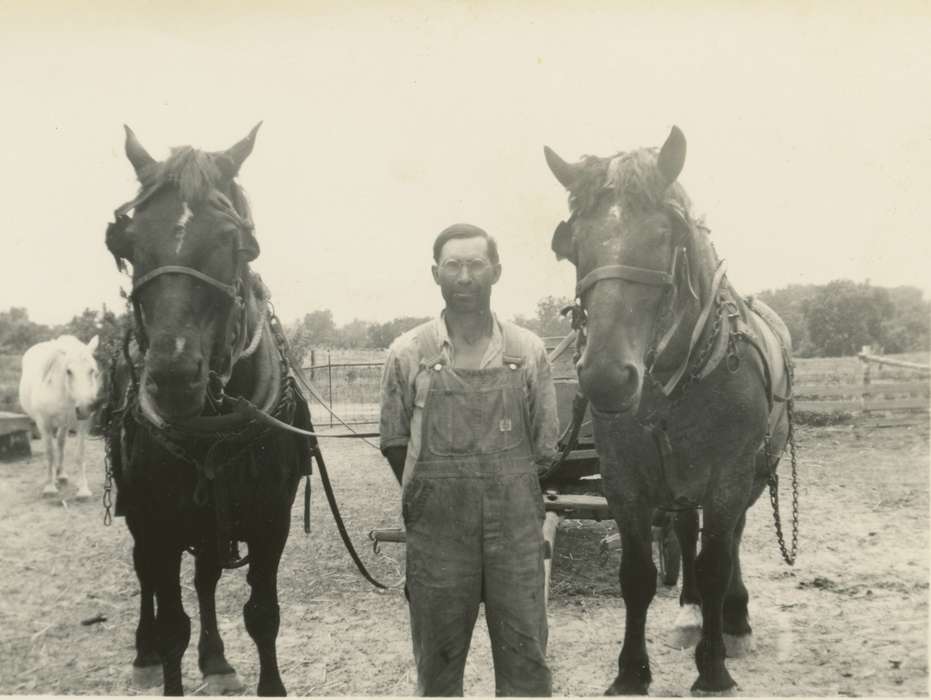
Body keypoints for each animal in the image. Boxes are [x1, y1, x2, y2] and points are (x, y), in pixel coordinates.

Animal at [18, 334, 101, 498]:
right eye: (68, 371)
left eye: (92, 370)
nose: (84, 408)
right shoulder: (43, 423)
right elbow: (50, 453)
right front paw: (49, 487)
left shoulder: (83, 423)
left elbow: (80, 453)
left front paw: (83, 489)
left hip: (65, 424)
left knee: (61, 443)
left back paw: (61, 474)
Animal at [100, 124, 314, 696]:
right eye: (128, 242)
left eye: (233, 241)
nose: (173, 377)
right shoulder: (158, 521)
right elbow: (174, 624)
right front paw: (164, 652)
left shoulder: (271, 519)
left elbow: (262, 614)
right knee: (146, 575)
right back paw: (145, 651)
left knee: (206, 579)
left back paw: (215, 659)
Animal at [544, 127, 796, 696]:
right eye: (575, 244)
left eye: (665, 236)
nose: (606, 377)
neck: (674, 385)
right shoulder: (625, 480)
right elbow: (636, 574)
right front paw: (631, 672)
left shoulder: (729, 474)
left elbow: (717, 559)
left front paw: (714, 667)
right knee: (684, 529)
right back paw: (690, 612)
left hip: (753, 472)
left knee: (731, 539)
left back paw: (734, 620)